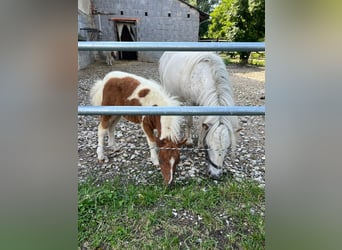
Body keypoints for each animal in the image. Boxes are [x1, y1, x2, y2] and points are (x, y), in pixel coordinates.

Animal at [158, 51, 240, 179]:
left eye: (227, 148)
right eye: (209, 146)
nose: (215, 175)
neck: (203, 75)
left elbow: (203, 124)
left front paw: (200, 143)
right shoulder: (190, 103)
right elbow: (189, 122)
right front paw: (189, 141)